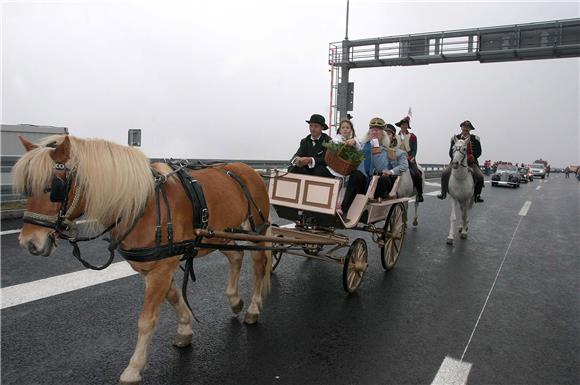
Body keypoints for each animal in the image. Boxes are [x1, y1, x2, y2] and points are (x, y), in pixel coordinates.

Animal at [13, 134, 272, 382]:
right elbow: (174, 297)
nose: (29, 243)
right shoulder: (157, 267)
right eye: (27, 187)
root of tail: (250, 170)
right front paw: (185, 330)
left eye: (53, 188)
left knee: (259, 266)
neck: (141, 206)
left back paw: (253, 308)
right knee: (236, 255)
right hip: (218, 235)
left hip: (255, 229)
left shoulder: (161, 269)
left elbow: (146, 319)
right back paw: (235, 300)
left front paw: (134, 368)